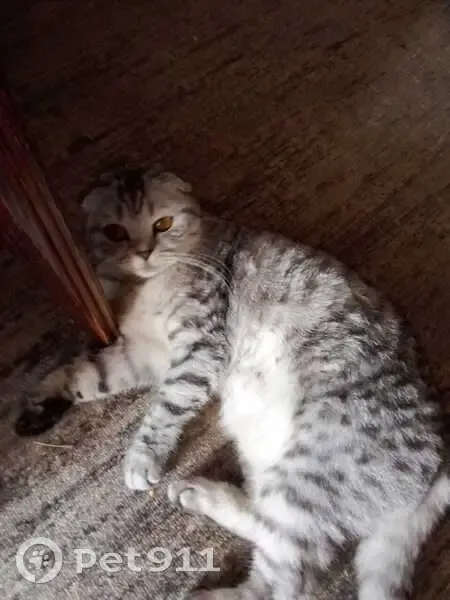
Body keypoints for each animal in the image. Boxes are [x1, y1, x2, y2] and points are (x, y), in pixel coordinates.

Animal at [17, 167, 449, 600]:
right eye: (115, 232)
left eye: (163, 224)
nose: (143, 253)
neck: (142, 288)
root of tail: (437, 464)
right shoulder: (140, 354)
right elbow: (85, 375)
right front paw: (39, 404)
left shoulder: (199, 347)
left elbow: (166, 407)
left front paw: (142, 456)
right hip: (272, 469)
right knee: (271, 538)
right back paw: (202, 496)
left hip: (307, 476)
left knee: (288, 579)